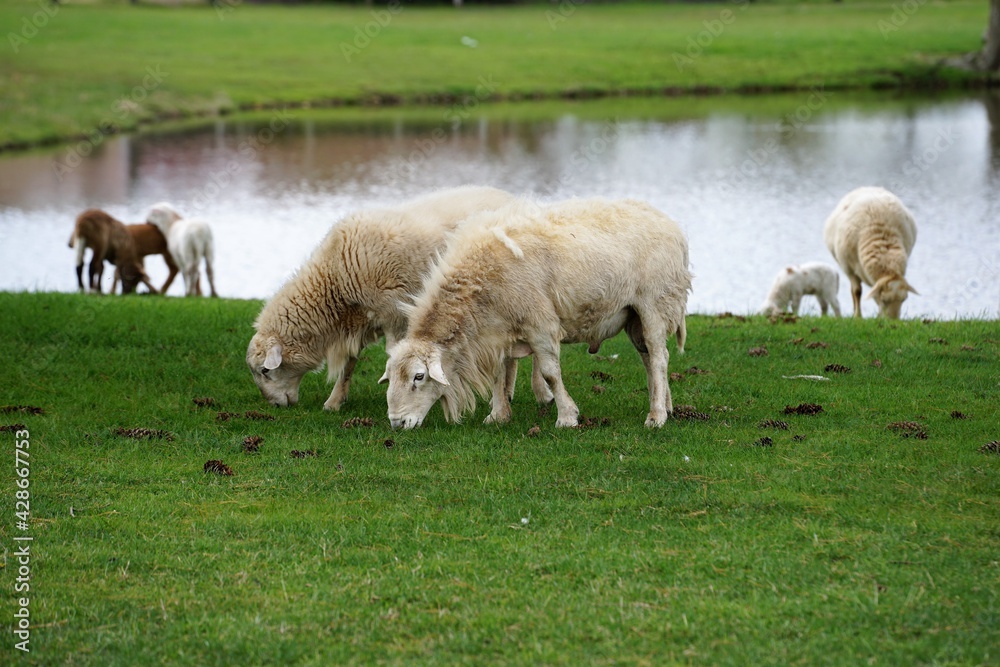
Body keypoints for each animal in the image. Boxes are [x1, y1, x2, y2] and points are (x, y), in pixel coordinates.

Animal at [245, 185, 543, 411]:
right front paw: (335, 401)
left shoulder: (394, 317)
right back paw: (507, 392)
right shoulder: (362, 322)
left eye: (265, 371)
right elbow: (349, 364)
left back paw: (537, 392)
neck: (336, 279)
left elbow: (394, 358)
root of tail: (513, 198)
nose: (275, 405)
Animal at [381, 196, 691, 430]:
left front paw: (567, 417)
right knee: (649, 358)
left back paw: (656, 417)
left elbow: (550, 373)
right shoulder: (499, 330)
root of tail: (672, 225)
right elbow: (499, 374)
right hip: (632, 315)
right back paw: (666, 406)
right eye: (391, 375)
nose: (397, 423)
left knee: (659, 357)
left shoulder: (540, 322)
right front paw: (498, 415)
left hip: (654, 302)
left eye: (418, 377)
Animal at [824, 186, 917, 319]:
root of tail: (867, 187)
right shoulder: (848, 268)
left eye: (904, 299)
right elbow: (857, 291)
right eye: (884, 300)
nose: (893, 321)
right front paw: (858, 316)